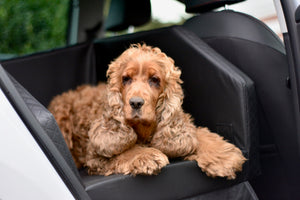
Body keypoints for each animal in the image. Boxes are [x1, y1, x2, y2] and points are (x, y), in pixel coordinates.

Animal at [48, 43, 246, 178]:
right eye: (126, 79)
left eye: (154, 80)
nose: (135, 103)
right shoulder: (95, 155)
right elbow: (124, 149)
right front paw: (147, 155)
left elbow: (196, 135)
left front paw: (222, 156)